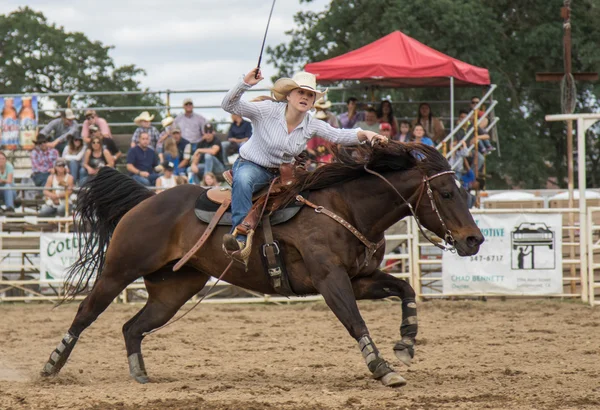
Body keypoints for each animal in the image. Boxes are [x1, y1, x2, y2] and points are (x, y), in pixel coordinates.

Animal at [41, 143, 482, 388]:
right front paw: (382, 368)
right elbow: (355, 321)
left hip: (173, 290)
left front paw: (406, 343)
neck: (345, 208)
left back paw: (140, 374)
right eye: (445, 193)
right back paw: (50, 366)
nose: (473, 239)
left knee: (132, 327)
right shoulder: (331, 280)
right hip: (118, 271)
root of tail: (146, 200)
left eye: (464, 189)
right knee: (85, 314)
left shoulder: (360, 279)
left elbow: (405, 289)